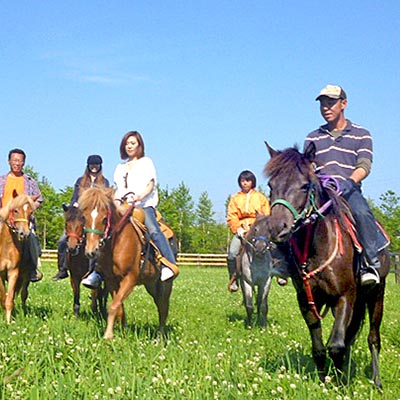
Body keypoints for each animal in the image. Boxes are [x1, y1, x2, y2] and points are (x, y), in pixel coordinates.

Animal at [0, 192, 38, 324]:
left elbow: (9, 299)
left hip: (26, 276)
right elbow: (3, 296)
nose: (24, 234)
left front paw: (8, 322)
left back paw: (23, 312)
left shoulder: (13, 272)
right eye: (15, 210)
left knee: (23, 294)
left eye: (31, 212)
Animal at [77, 186, 173, 340]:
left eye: (105, 219)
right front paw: (122, 331)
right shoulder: (111, 280)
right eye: (84, 217)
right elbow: (119, 306)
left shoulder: (130, 278)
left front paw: (108, 335)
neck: (118, 242)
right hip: (151, 284)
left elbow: (114, 305)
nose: (91, 251)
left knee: (163, 307)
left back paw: (160, 338)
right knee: (160, 304)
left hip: (165, 284)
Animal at [264, 143, 390, 388]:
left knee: (372, 338)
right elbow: (320, 348)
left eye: (305, 185)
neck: (316, 247)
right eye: (270, 185)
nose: (276, 228)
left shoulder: (345, 297)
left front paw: (341, 383)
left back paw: (377, 381)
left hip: (376, 294)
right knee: (350, 337)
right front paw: (325, 381)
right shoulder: (307, 300)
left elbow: (336, 345)